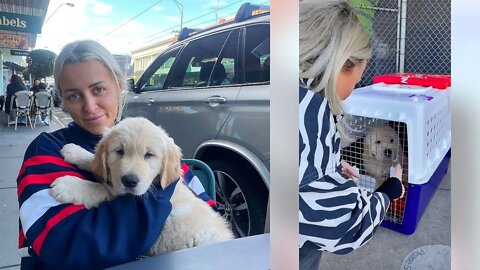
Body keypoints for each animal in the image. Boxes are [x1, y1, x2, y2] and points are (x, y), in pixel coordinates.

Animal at [50, 117, 234, 254]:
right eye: (119, 151)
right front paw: (75, 151)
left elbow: (100, 188)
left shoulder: (127, 194)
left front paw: (68, 185)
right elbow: (95, 163)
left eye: (149, 155)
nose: (130, 181)